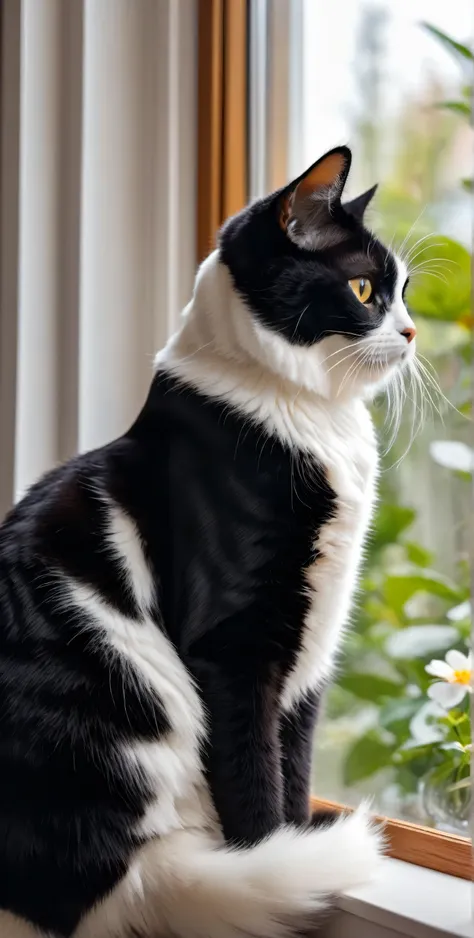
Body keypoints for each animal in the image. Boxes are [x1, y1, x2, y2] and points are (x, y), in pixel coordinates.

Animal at [0, 146, 414, 936]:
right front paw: (275, 852)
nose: (411, 334)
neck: (315, 417)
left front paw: (296, 833)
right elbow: (253, 779)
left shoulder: (311, 650)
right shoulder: (236, 639)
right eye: (364, 288)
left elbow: (294, 761)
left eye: (405, 293)